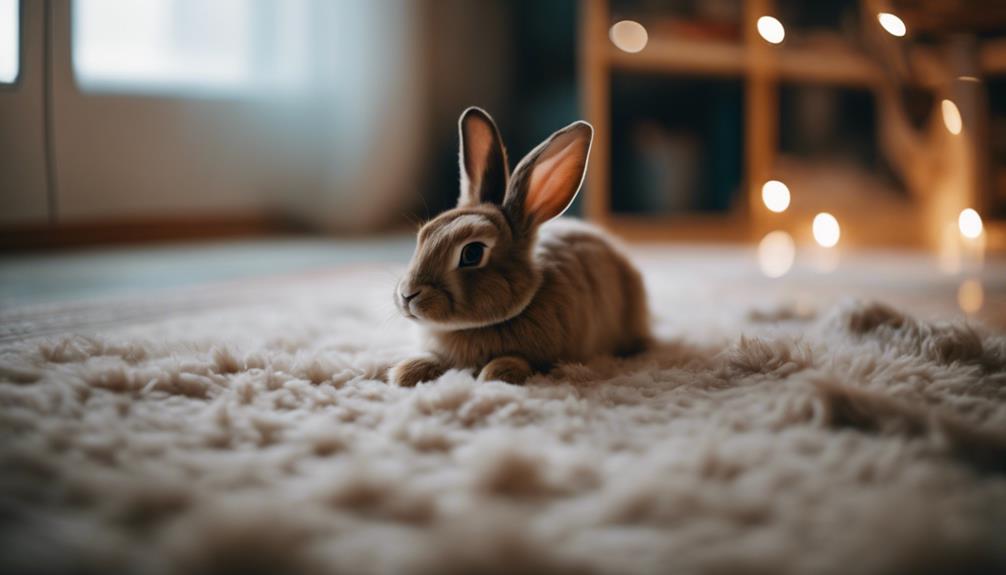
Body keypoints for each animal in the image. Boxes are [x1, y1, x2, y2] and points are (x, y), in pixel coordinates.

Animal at [389, 107, 651, 386]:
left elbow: (520, 362)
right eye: (423, 236)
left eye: (472, 253)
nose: (407, 295)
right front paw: (405, 372)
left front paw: (495, 374)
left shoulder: (546, 358)